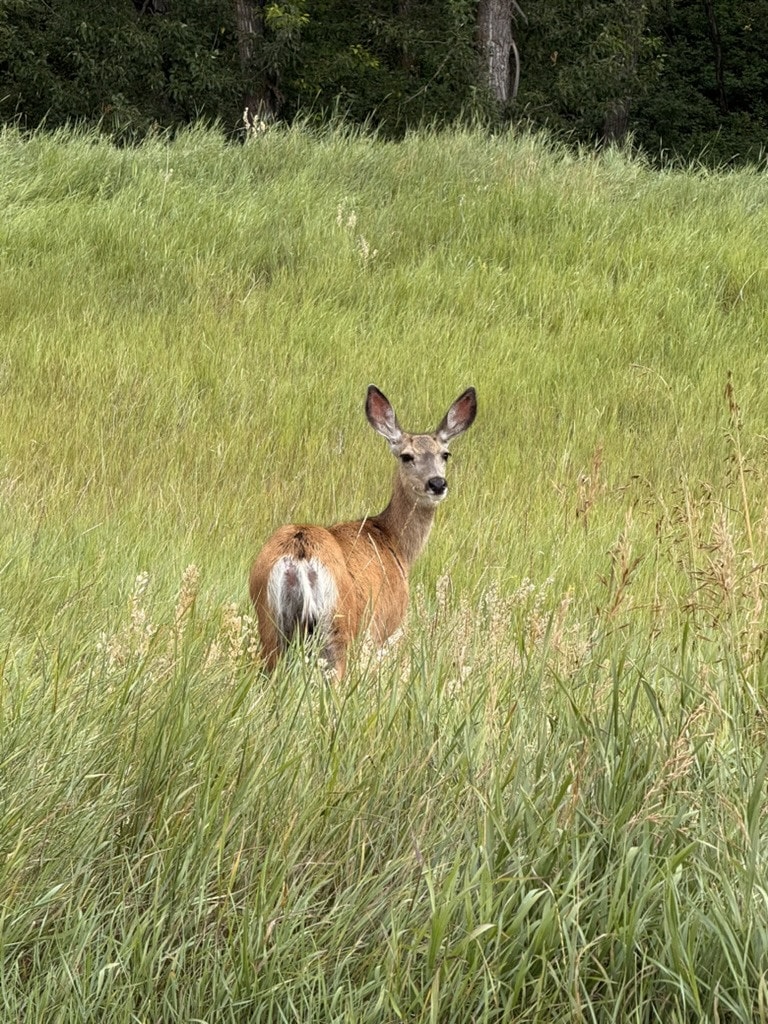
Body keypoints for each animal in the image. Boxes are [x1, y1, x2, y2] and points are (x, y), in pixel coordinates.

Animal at [249, 385, 477, 677]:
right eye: (406, 456)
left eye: (444, 454)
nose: (437, 483)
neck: (395, 542)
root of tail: (300, 554)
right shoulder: (385, 625)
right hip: (338, 626)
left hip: (269, 623)